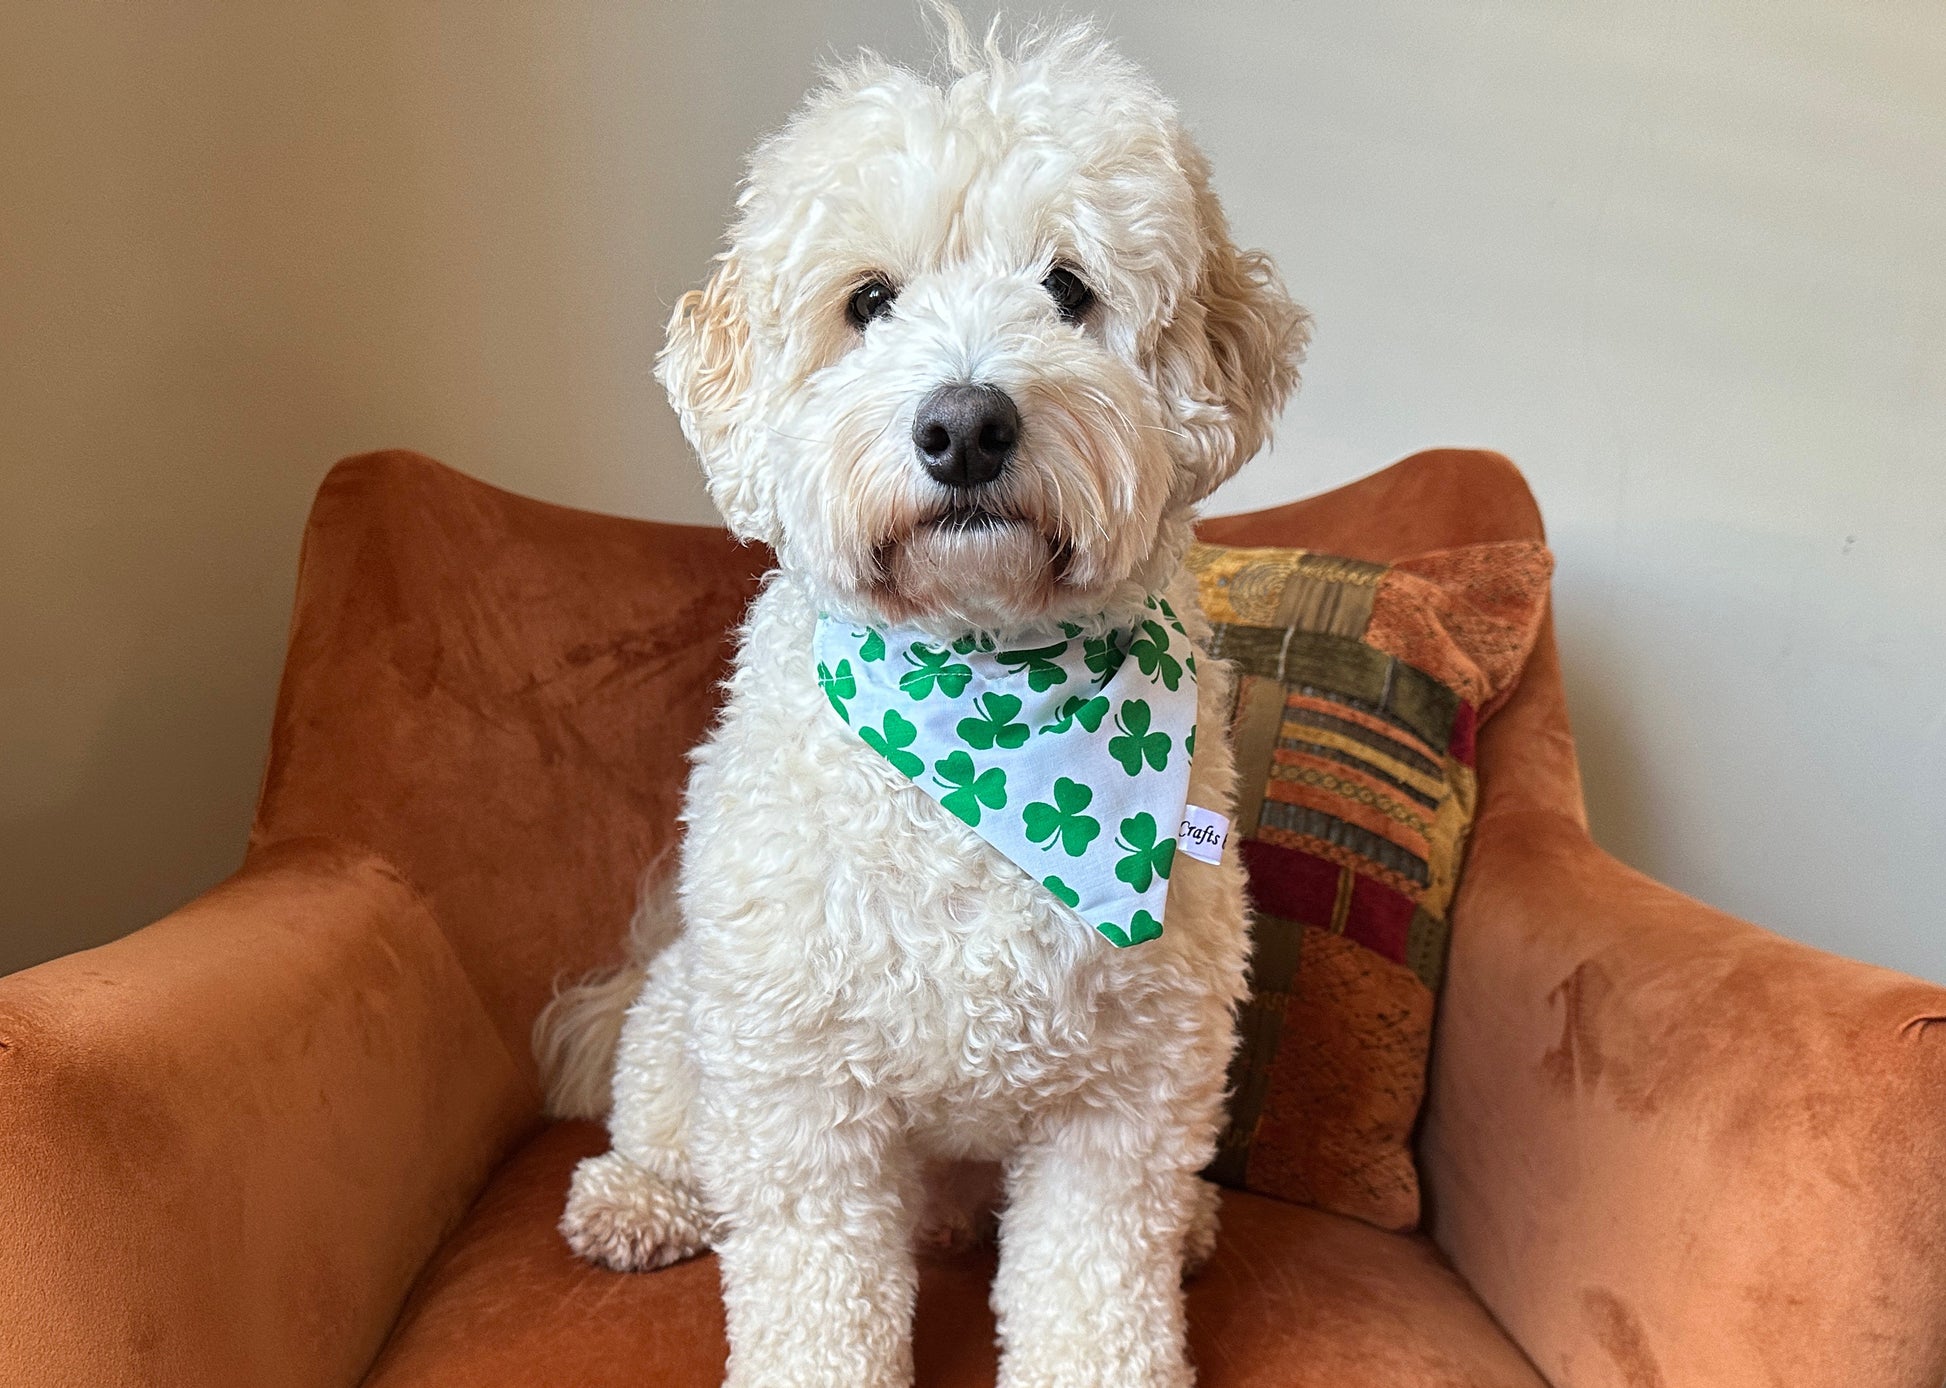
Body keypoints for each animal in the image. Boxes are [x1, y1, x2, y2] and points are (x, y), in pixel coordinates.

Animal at [540, 13, 1307, 1386]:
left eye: (1067, 288)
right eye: (867, 301)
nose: (964, 424)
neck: (988, 696)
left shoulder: (1127, 1091)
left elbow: (1095, 1287)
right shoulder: (798, 1084)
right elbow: (814, 1287)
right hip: (688, 1016)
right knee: (666, 1119)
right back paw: (637, 1196)